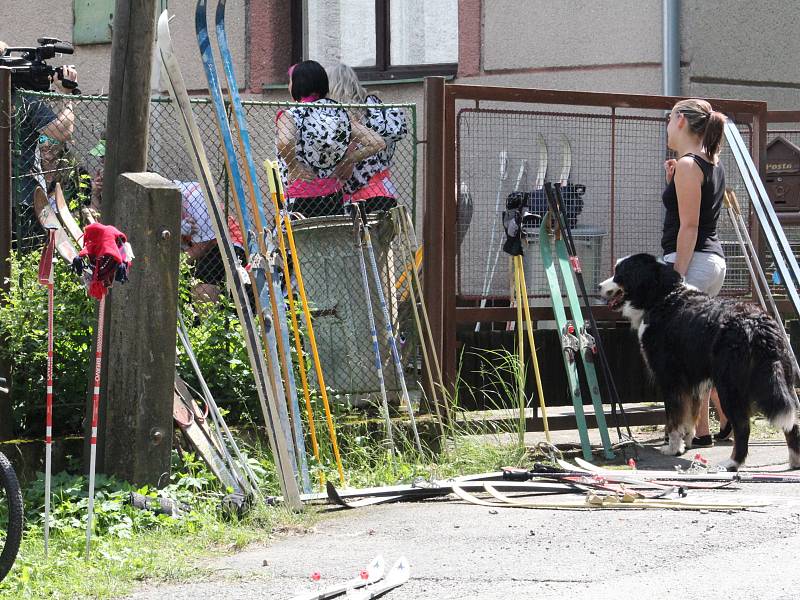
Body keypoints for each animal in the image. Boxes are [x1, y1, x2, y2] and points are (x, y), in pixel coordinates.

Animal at [600, 251, 800, 472]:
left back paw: (732, 462)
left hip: (729, 387)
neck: (662, 297)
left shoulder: (670, 378)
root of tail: (758, 325)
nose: (599, 287)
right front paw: (687, 441)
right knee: (793, 422)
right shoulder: (694, 381)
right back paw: (794, 461)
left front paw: (673, 448)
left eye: (619, 273)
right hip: (783, 382)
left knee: (742, 426)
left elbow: (674, 417)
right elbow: (690, 414)